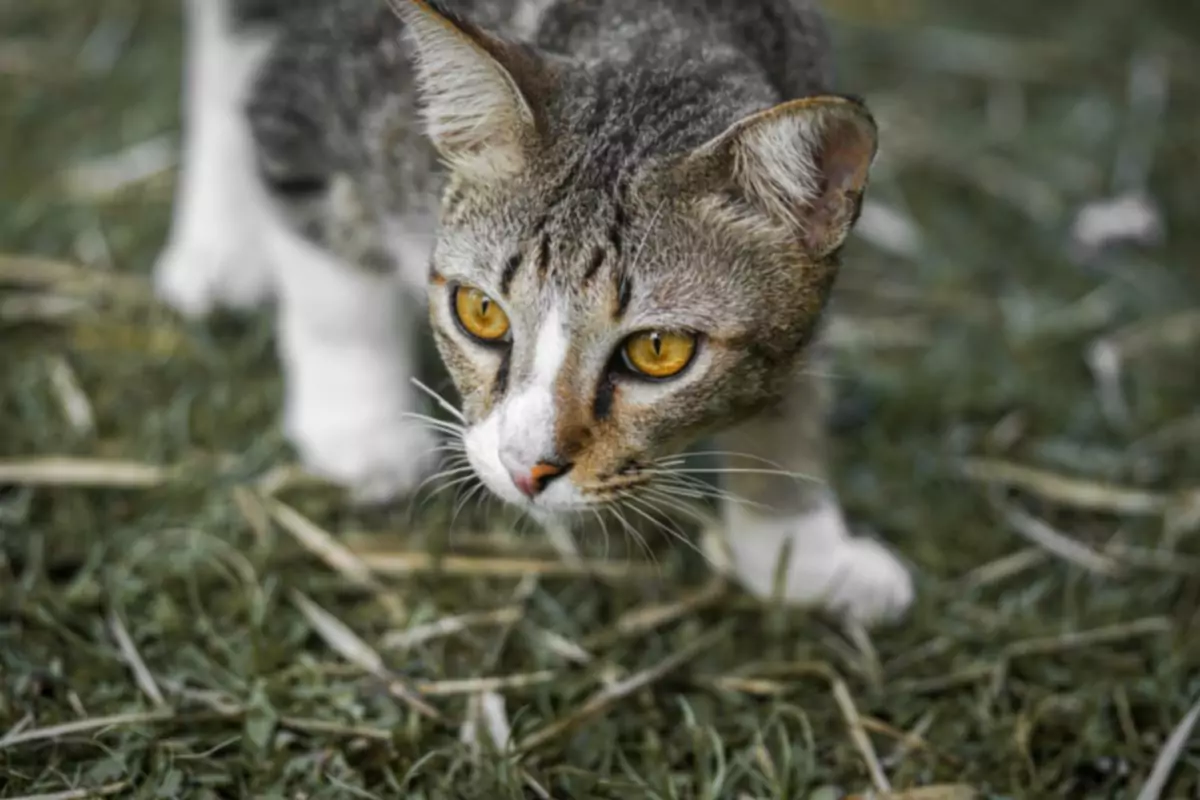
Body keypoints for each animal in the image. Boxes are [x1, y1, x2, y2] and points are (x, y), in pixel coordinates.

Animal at [154, 0, 912, 623]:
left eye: (658, 351)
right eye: (481, 312)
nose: (527, 470)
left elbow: (794, 386)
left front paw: (800, 552)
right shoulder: (309, 102)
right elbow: (335, 290)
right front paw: (360, 433)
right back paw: (220, 247)